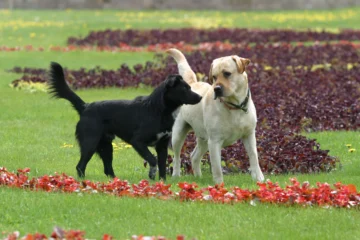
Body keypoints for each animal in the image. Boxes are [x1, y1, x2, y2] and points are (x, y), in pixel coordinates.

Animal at [47, 62, 202, 180]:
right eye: (185, 88)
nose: (200, 97)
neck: (157, 109)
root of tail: (85, 107)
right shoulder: (138, 141)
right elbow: (152, 160)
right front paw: (152, 174)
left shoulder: (162, 146)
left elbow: (162, 166)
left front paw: (161, 182)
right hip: (90, 143)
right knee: (80, 166)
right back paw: (82, 182)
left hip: (106, 146)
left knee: (107, 169)